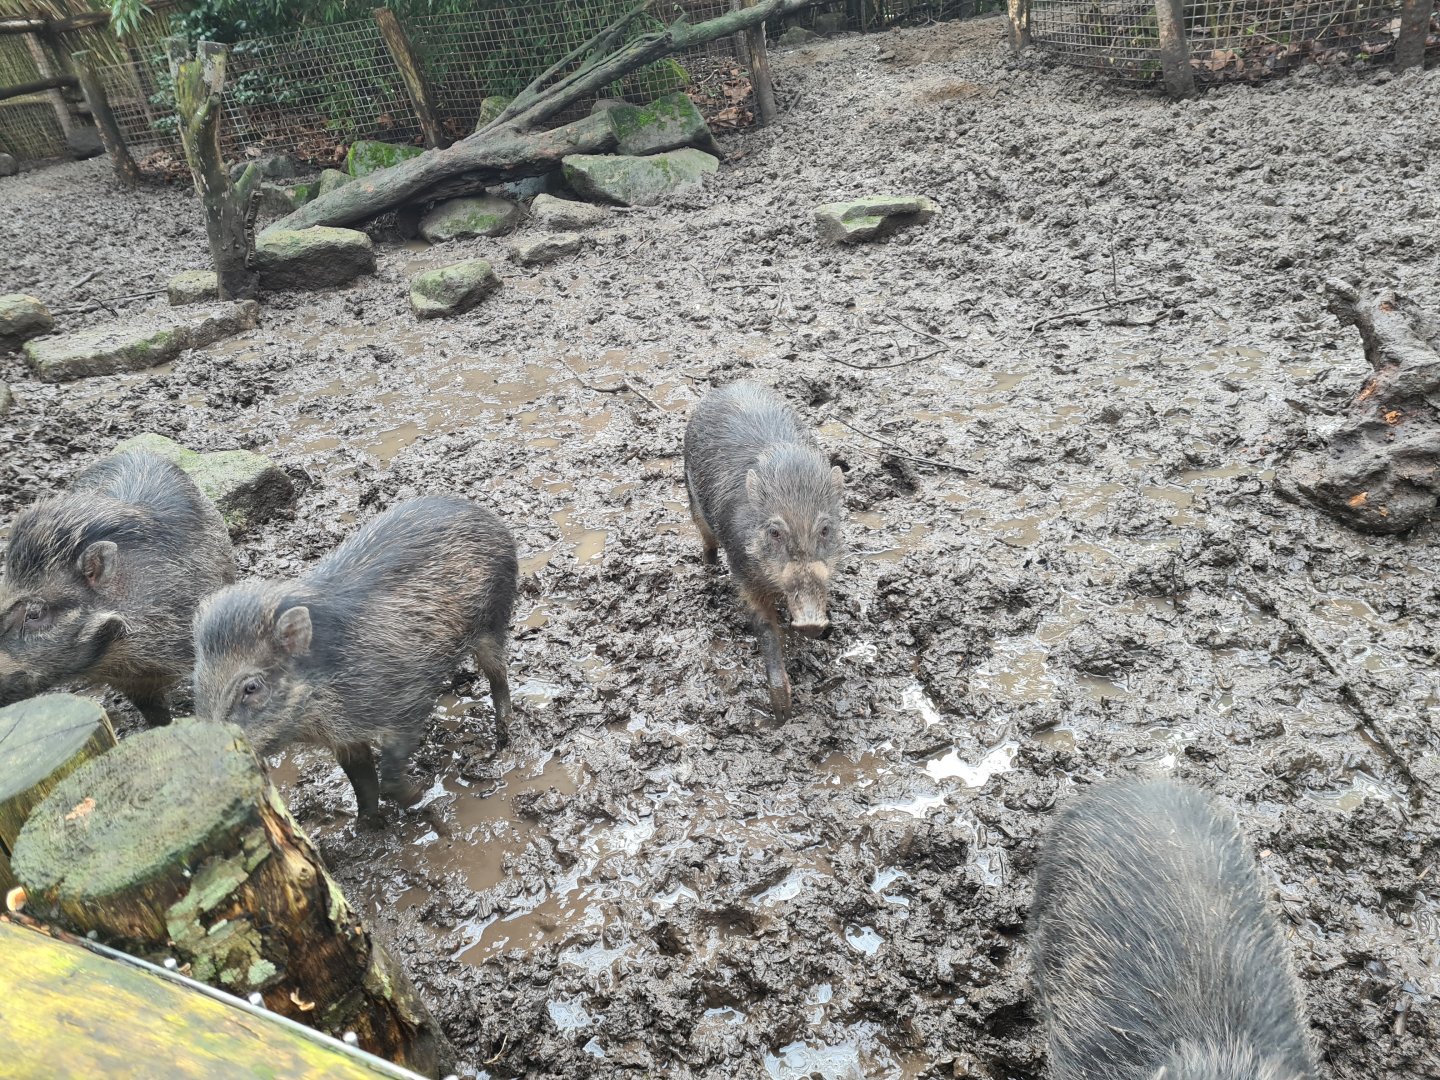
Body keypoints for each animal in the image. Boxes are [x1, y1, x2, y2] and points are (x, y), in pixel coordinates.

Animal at [192, 495, 516, 824]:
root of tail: (485, 515)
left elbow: (389, 777)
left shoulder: (408, 702)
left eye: (252, 687)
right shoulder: (344, 741)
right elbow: (363, 784)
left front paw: (425, 799)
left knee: (499, 675)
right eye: (198, 683)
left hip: (494, 618)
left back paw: (502, 737)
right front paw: (365, 825)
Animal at [683, 381, 844, 716]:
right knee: (706, 540)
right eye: (774, 532)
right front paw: (782, 710)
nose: (812, 623)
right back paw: (708, 568)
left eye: (825, 529)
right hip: (691, 497)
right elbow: (765, 629)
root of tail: (731, 385)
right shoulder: (742, 571)